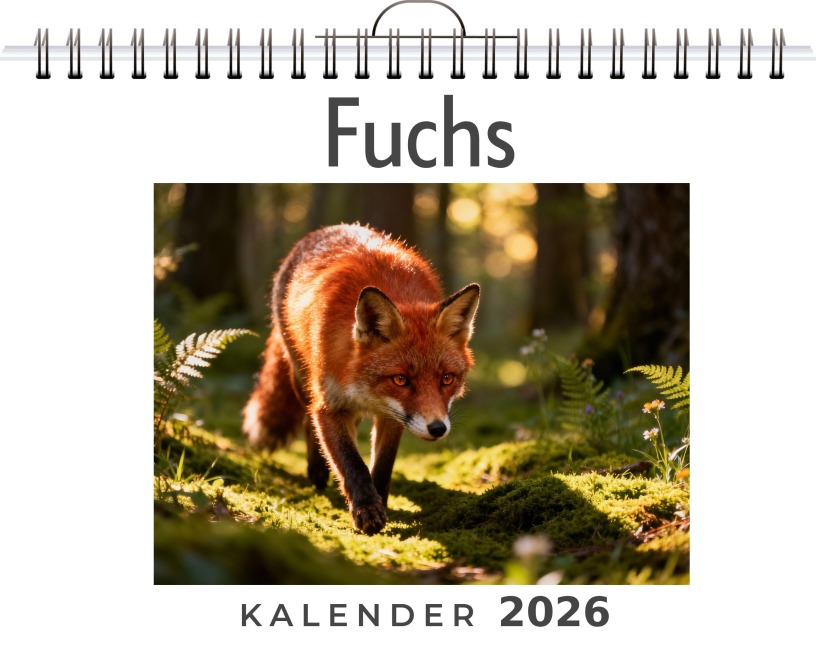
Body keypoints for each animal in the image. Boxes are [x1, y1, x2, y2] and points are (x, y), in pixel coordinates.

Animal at [243, 223, 480, 535]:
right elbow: (351, 462)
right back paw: (317, 471)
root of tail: (329, 228)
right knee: (308, 419)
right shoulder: (329, 406)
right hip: (301, 377)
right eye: (401, 379)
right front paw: (366, 509)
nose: (437, 428)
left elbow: (382, 466)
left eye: (447, 378)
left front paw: (380, 501)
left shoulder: (393, 416)